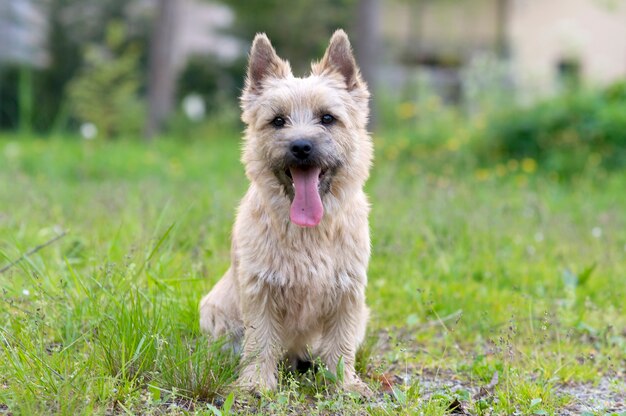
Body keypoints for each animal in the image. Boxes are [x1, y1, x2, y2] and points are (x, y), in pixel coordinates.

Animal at [199, 30, 370, 396]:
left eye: (327, 118)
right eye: (278, 121)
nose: (301, 146)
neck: (309, 232)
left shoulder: (348, 293)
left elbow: (341, 342)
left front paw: (344, 384)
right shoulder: (259, 289)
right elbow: (260, 340)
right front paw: (255, 384)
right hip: (213, 311)